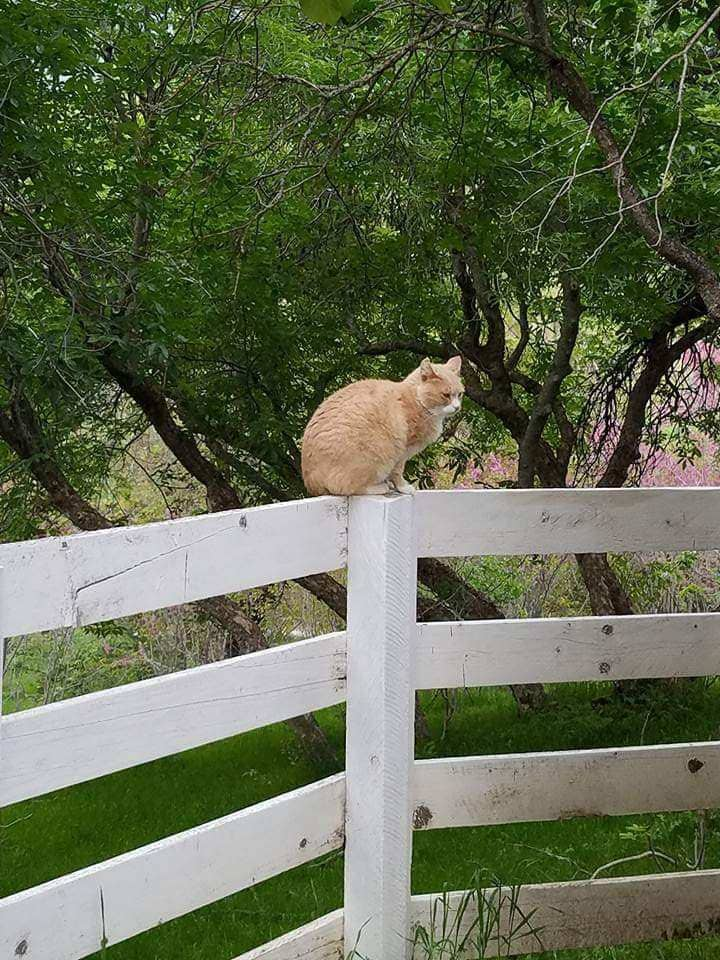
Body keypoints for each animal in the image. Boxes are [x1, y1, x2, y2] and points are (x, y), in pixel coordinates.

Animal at [300, 356, 464, 498]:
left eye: (460, 394)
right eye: (446, 395)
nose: (457, 407)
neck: (416, 400)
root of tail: (311, 482)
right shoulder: (402, 451)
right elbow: (397, 472)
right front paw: (403, 487)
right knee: (345, 488)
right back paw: (380, 487)